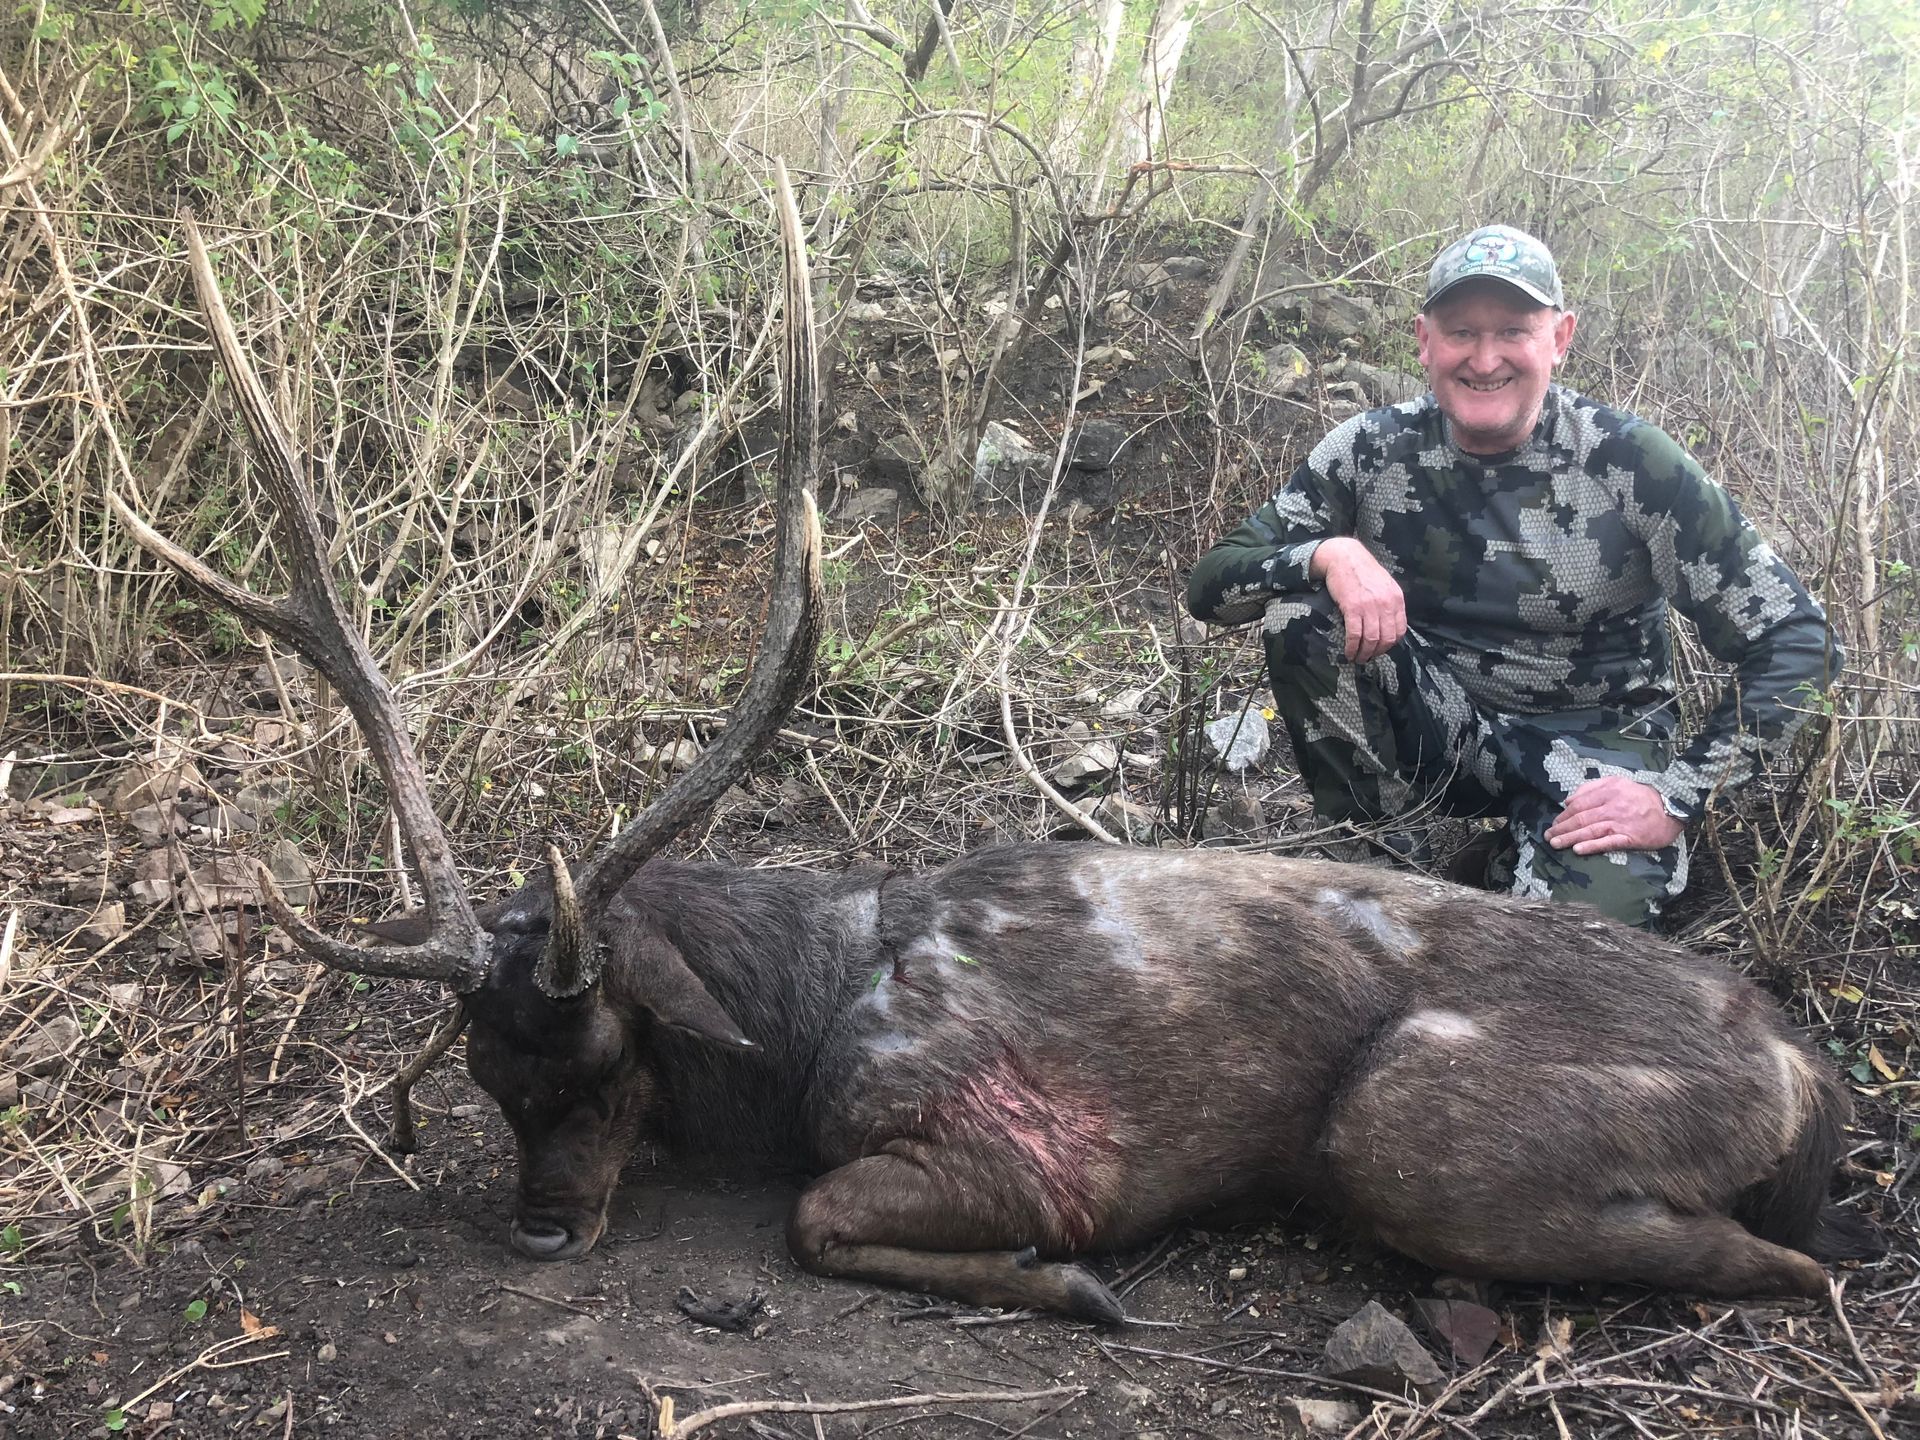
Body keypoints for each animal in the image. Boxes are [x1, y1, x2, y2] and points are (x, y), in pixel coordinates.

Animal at [112, 180, 1879, 1325]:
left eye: (606, 1053)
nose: (544, 1235)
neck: (806, 1007)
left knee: (1782, 1264)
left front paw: (1071, 1282)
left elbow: (821, 1216)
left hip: (1410, 1128)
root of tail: (1804, 1072)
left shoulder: (1010, 1138)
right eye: (480, 1075)